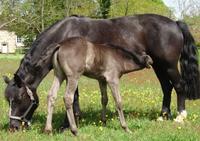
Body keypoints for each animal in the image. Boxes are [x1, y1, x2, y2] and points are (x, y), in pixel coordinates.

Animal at [3, 13, 200, 131]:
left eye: (19, 99)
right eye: (7, 100)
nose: (13, 127)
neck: (64, 33)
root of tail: (175, 23)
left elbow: (73, 96)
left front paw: (67, 125)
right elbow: (75, 97)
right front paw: (75, 120)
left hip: (169, 65)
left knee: (179, 86)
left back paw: (180, 117)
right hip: (159, 65)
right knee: (167, 88)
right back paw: (163, 116)